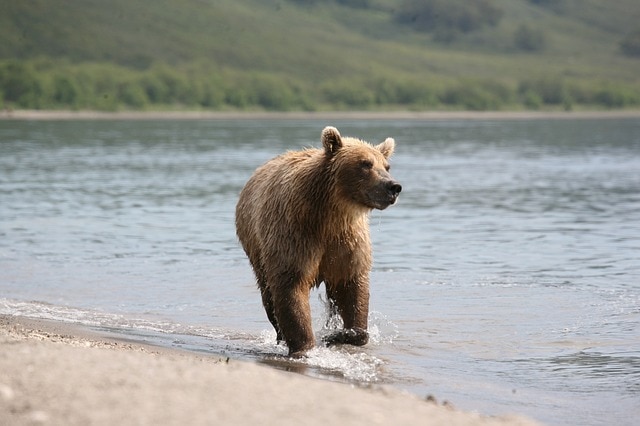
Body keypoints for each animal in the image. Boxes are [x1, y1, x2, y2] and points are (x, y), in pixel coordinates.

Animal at [235, 126, 401, 357]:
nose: (393, 186)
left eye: (386, 166)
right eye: (365, 163)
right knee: (268, 295)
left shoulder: (347, 243)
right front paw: (305, 346)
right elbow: (291, 287)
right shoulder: (296, 234)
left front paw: (338, 334)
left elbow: (353, 289)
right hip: (257, 250)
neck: (330, 215)